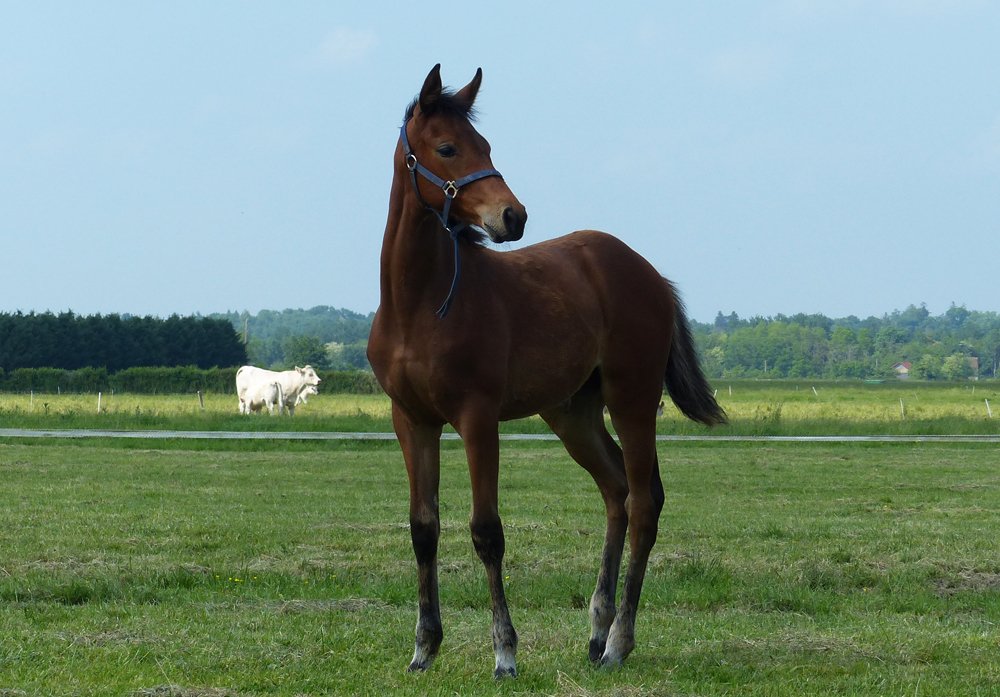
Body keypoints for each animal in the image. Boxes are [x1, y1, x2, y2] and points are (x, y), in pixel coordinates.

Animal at [367, 64, 726, 679]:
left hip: (631, 399)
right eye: (447, 147)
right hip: (573, 413)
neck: (421, 304)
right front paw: (424, 648)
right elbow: (423, 528)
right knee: (616, 491)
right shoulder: (411, 420)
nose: (513, 216)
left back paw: (618, 642)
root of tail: (648, 272)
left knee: (644, 501)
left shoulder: (478, 417)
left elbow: (486, 532)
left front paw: (505, 652)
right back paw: (597, 629)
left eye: (486, 145)